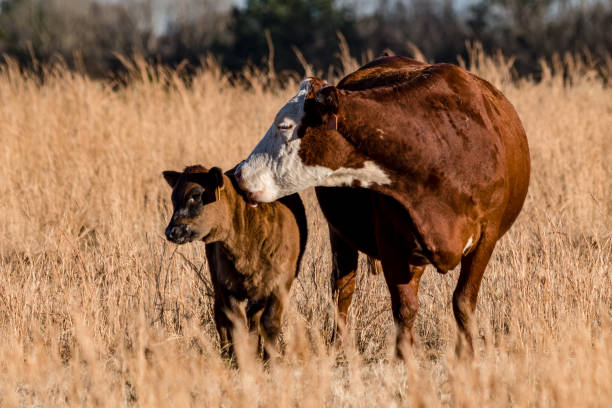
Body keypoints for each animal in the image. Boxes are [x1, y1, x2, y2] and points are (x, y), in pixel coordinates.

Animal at [164, 164, 308, 358]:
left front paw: (271, 361)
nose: (171, 231)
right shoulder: (228, 285)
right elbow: (236, 325)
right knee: (221, 317)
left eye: (197, 195)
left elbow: (270, 324)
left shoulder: (280, 284)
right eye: (173, 198)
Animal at [234, 55, 532, 356]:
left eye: (283, 126)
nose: (238, 173)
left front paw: (466, 355)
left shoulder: (487, 235)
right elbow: (404, 307)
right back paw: (339, 344)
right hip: (341, 235)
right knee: (342, 288)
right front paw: (405, 358)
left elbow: (463, 302)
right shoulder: (390, 239)